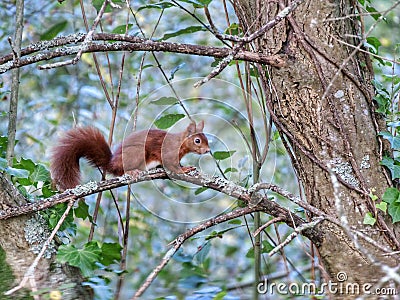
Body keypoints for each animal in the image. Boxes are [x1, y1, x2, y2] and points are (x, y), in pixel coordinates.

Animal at [50, 120, 209, 189]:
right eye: (197, 141)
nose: (208, 150)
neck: (180, 143)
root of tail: (112, 163)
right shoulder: (168, 152)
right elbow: (172, 166)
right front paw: (184, 169)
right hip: (136, 153)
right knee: (121, 171)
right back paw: (132, 172)